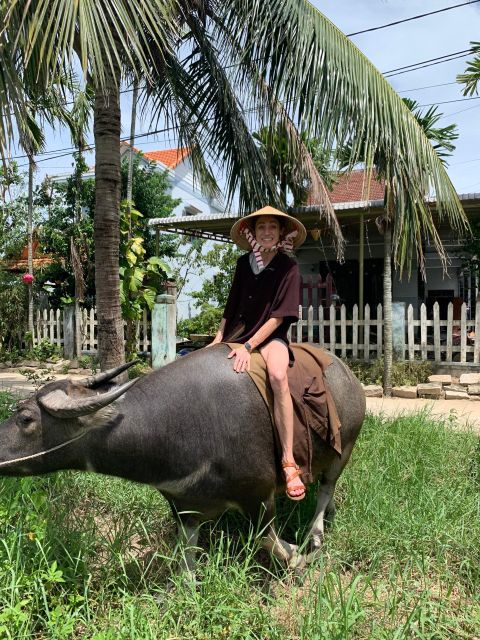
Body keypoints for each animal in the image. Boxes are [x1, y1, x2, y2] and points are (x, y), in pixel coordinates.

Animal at [0, 344, 364, 568]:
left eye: (26, 419)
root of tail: (349, 374)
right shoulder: (182, 504)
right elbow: (187, 557)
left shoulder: (259, 497)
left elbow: (268, 541)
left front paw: (297, 555)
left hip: (344, 449)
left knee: (327, 486)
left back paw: (316, 532)